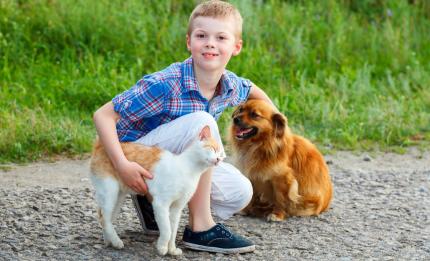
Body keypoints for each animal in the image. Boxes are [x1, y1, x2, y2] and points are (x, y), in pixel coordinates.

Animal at [90, 125, 225, 255]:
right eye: (213, 149)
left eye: (221, 156)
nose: (218, 159)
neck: (189, 169)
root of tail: (99, 145)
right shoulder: (161, 203)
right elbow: (167, 229)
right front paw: (162, 247)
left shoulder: (177, 208)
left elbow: (173, 230)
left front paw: (171, 249)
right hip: (110, 193)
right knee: (103, 218)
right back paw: (116, 241)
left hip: (118, 197)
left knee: (106, 217)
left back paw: (109, 241)